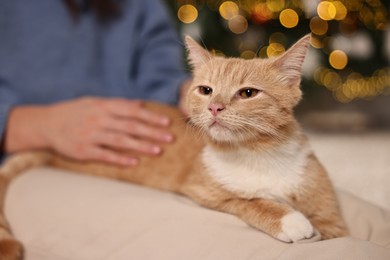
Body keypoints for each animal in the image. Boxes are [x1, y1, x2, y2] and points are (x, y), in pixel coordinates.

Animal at [0, 34, 348, 258]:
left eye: (248, 93)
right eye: (206, 90)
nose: (215, 107)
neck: (256, 153)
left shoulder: (334, 221)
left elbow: (331, 230)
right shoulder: (203, 190)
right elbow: (247, 201)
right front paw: (289, 219)